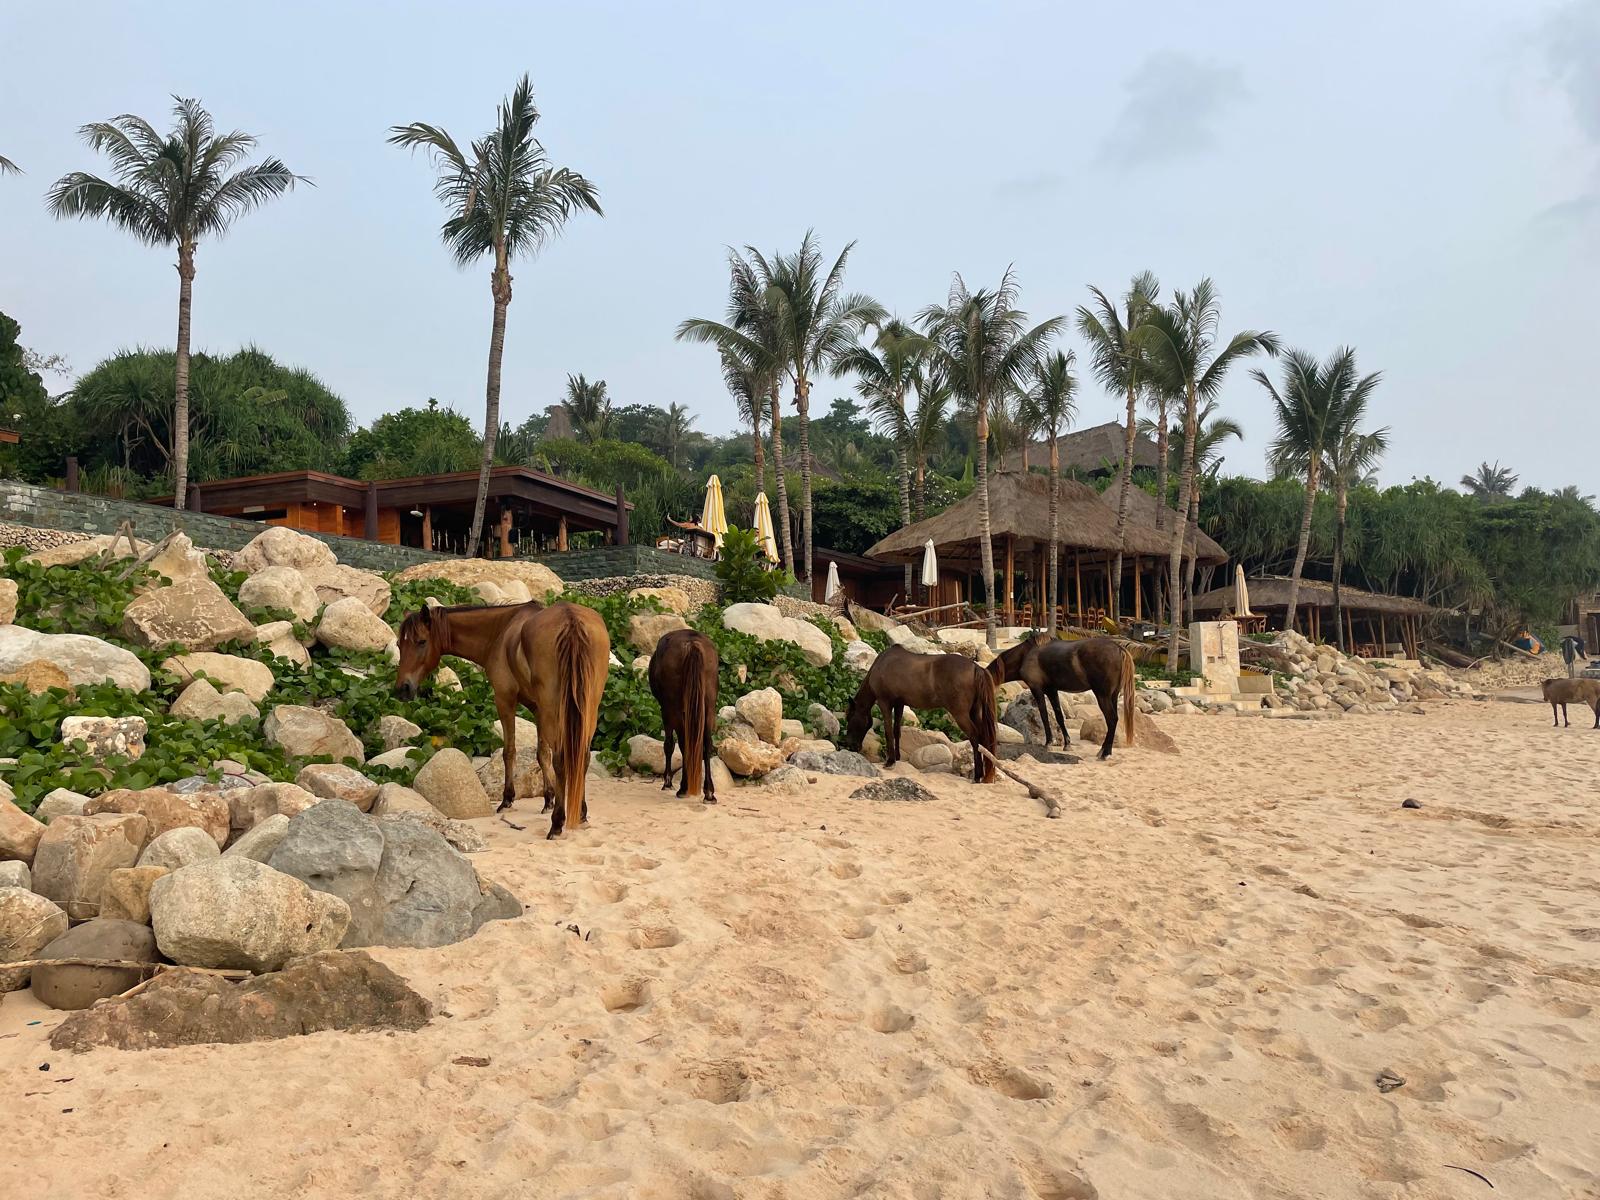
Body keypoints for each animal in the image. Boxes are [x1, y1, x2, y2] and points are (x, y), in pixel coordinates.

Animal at [396, 600, 610, 839]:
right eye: (399, 644)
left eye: (421, 641)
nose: (403, 688)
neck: (500, 630)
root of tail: (571, 622)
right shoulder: (538, 709)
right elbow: (542, 754)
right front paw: (548, 798)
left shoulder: (505, 700)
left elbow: (510, 751)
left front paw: (508, 798)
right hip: (586, 708)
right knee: (582, 757)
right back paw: (580, 813)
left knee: (562, 759)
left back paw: (557, 822)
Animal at [647, 628, 720, 803]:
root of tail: (693, 644)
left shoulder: (665, 710)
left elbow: (669, 744)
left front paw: (667, 782)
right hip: (709, 706)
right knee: (707, 742)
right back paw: (709, 792)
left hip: (674, 707)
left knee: (683, 742)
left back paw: (684, 787)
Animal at [842, 645, 998, 783]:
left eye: (850, 717)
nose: (850, 746)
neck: (882, 665)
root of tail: (975, 667)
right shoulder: (899, 704)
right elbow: (896, 730)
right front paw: (897, 757)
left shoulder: (884, 702)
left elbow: (888, 731)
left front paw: (890, 761)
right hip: (975, 712)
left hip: (960, 714)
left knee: (974, 737)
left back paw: (977, 776)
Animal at [987, 635, 1136, 759]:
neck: (1026, 655)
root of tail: (1119, 648)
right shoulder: (1051, 690)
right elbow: (1059, 716)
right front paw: (1067, 744)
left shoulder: (1037, 689)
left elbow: (1044, 715)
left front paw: (1048, 742)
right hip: (1113, 695)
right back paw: (1103, 750)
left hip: (1102, 695)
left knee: (1112, 719)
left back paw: (1105, 753)